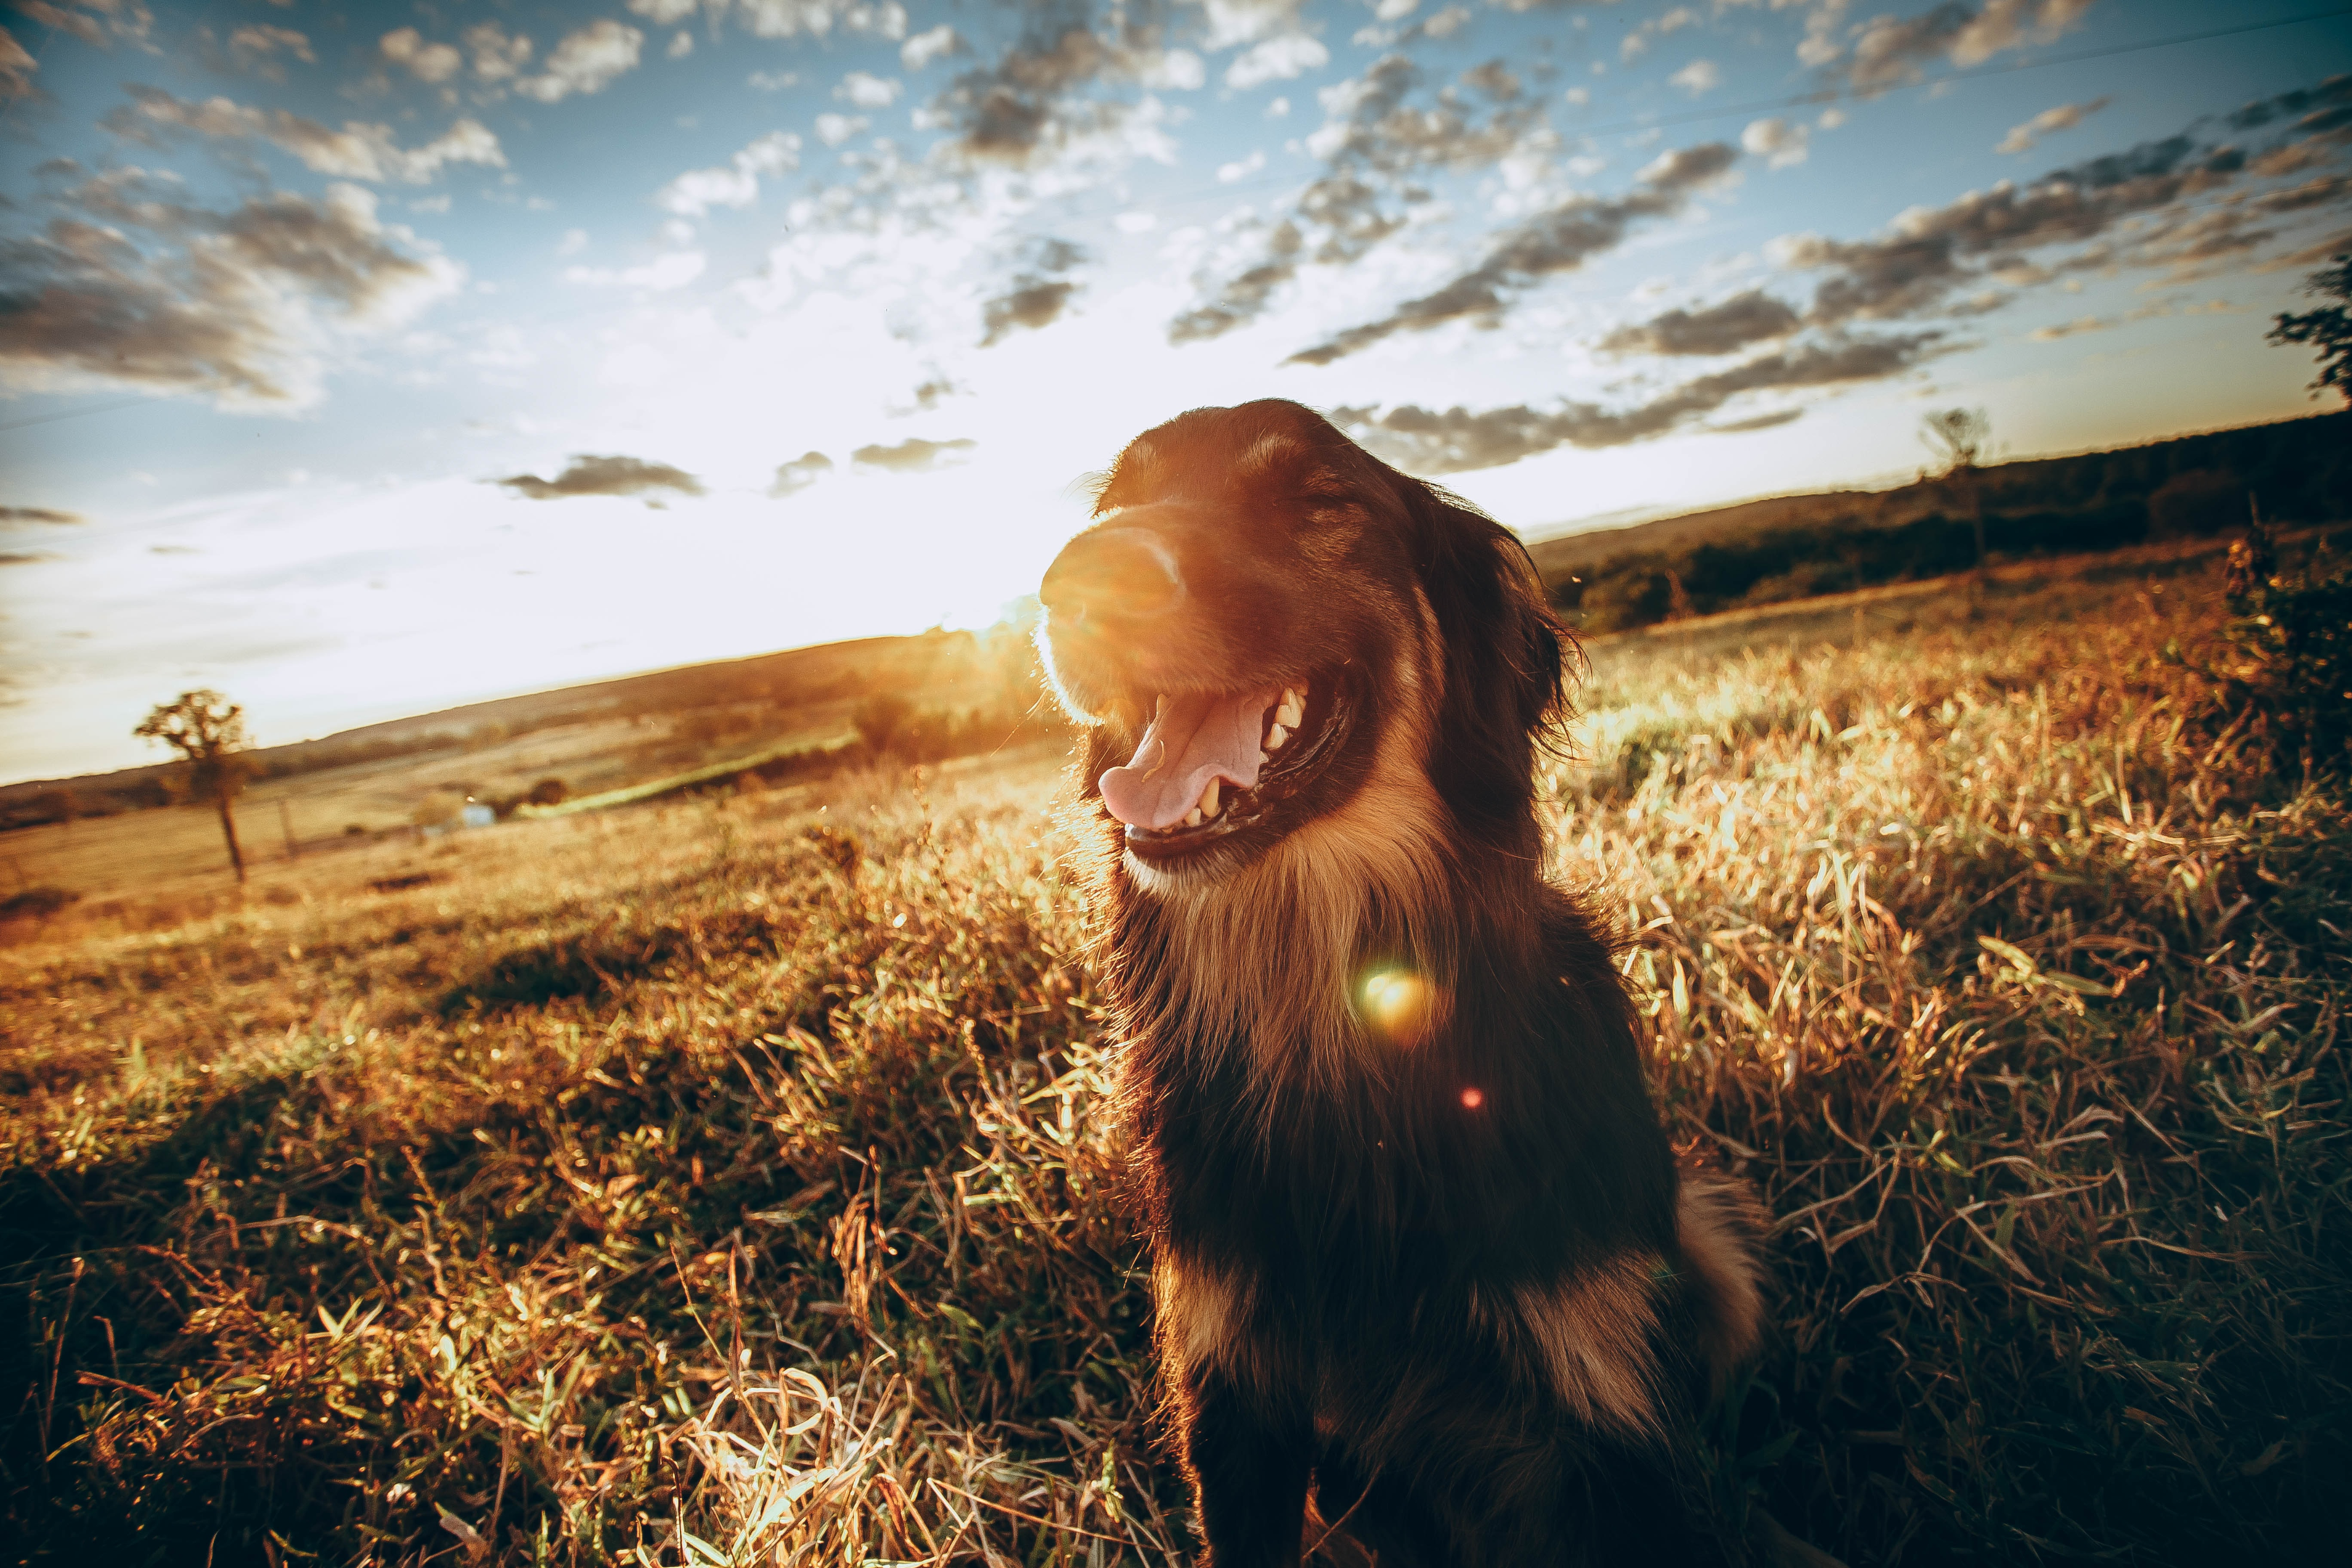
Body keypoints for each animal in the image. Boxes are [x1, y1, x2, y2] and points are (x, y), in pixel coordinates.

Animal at [1034, 401, 1768, 1568]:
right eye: (1116, 503)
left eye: (1319, 501)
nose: (1079, 579)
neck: (1330, 1012)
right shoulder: (1235, 1397)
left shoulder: (1603, 1411)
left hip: (1711, 1234)